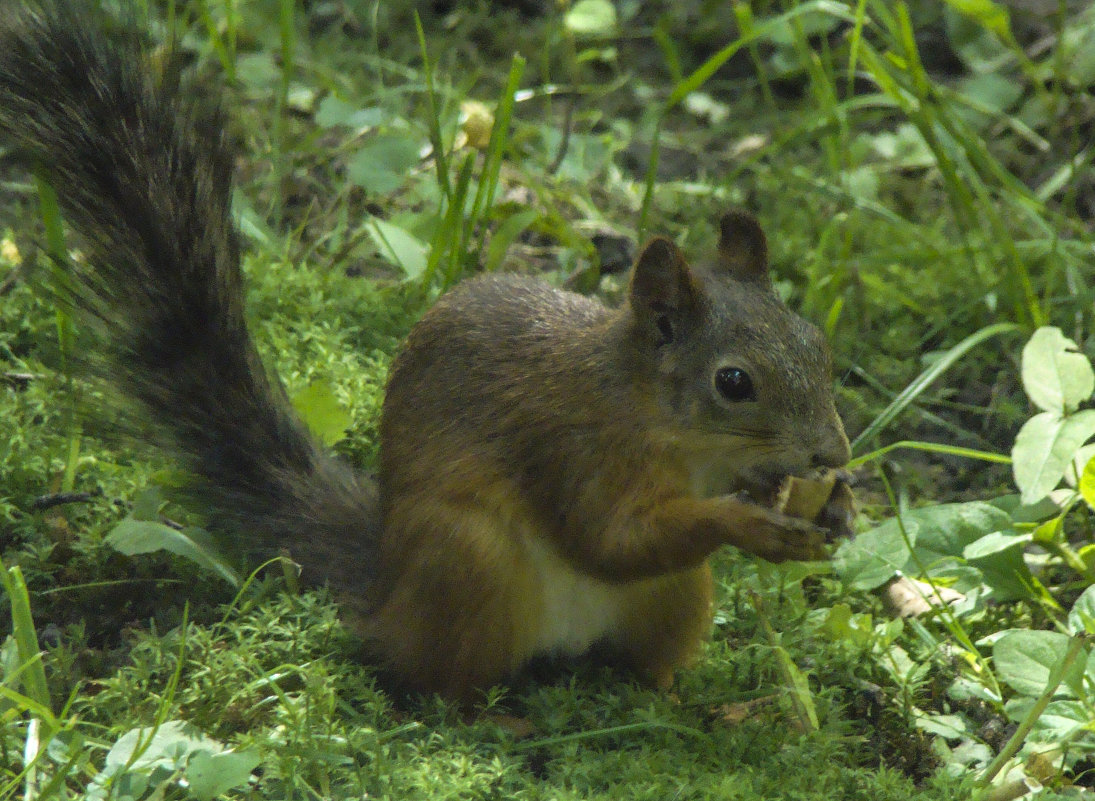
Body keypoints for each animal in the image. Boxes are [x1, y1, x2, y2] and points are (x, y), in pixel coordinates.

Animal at [0, 0, 854, 700]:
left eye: (816, 342)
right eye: (733, 382)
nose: (832, 453)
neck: (659, 419)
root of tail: (385, 585)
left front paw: (823, 502)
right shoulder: (574, 449)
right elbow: (609, 538)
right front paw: (752, 523)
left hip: (677, 596)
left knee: (639, 664)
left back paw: (683, 703)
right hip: (468, 558)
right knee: (434, 675)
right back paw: (497, 715)